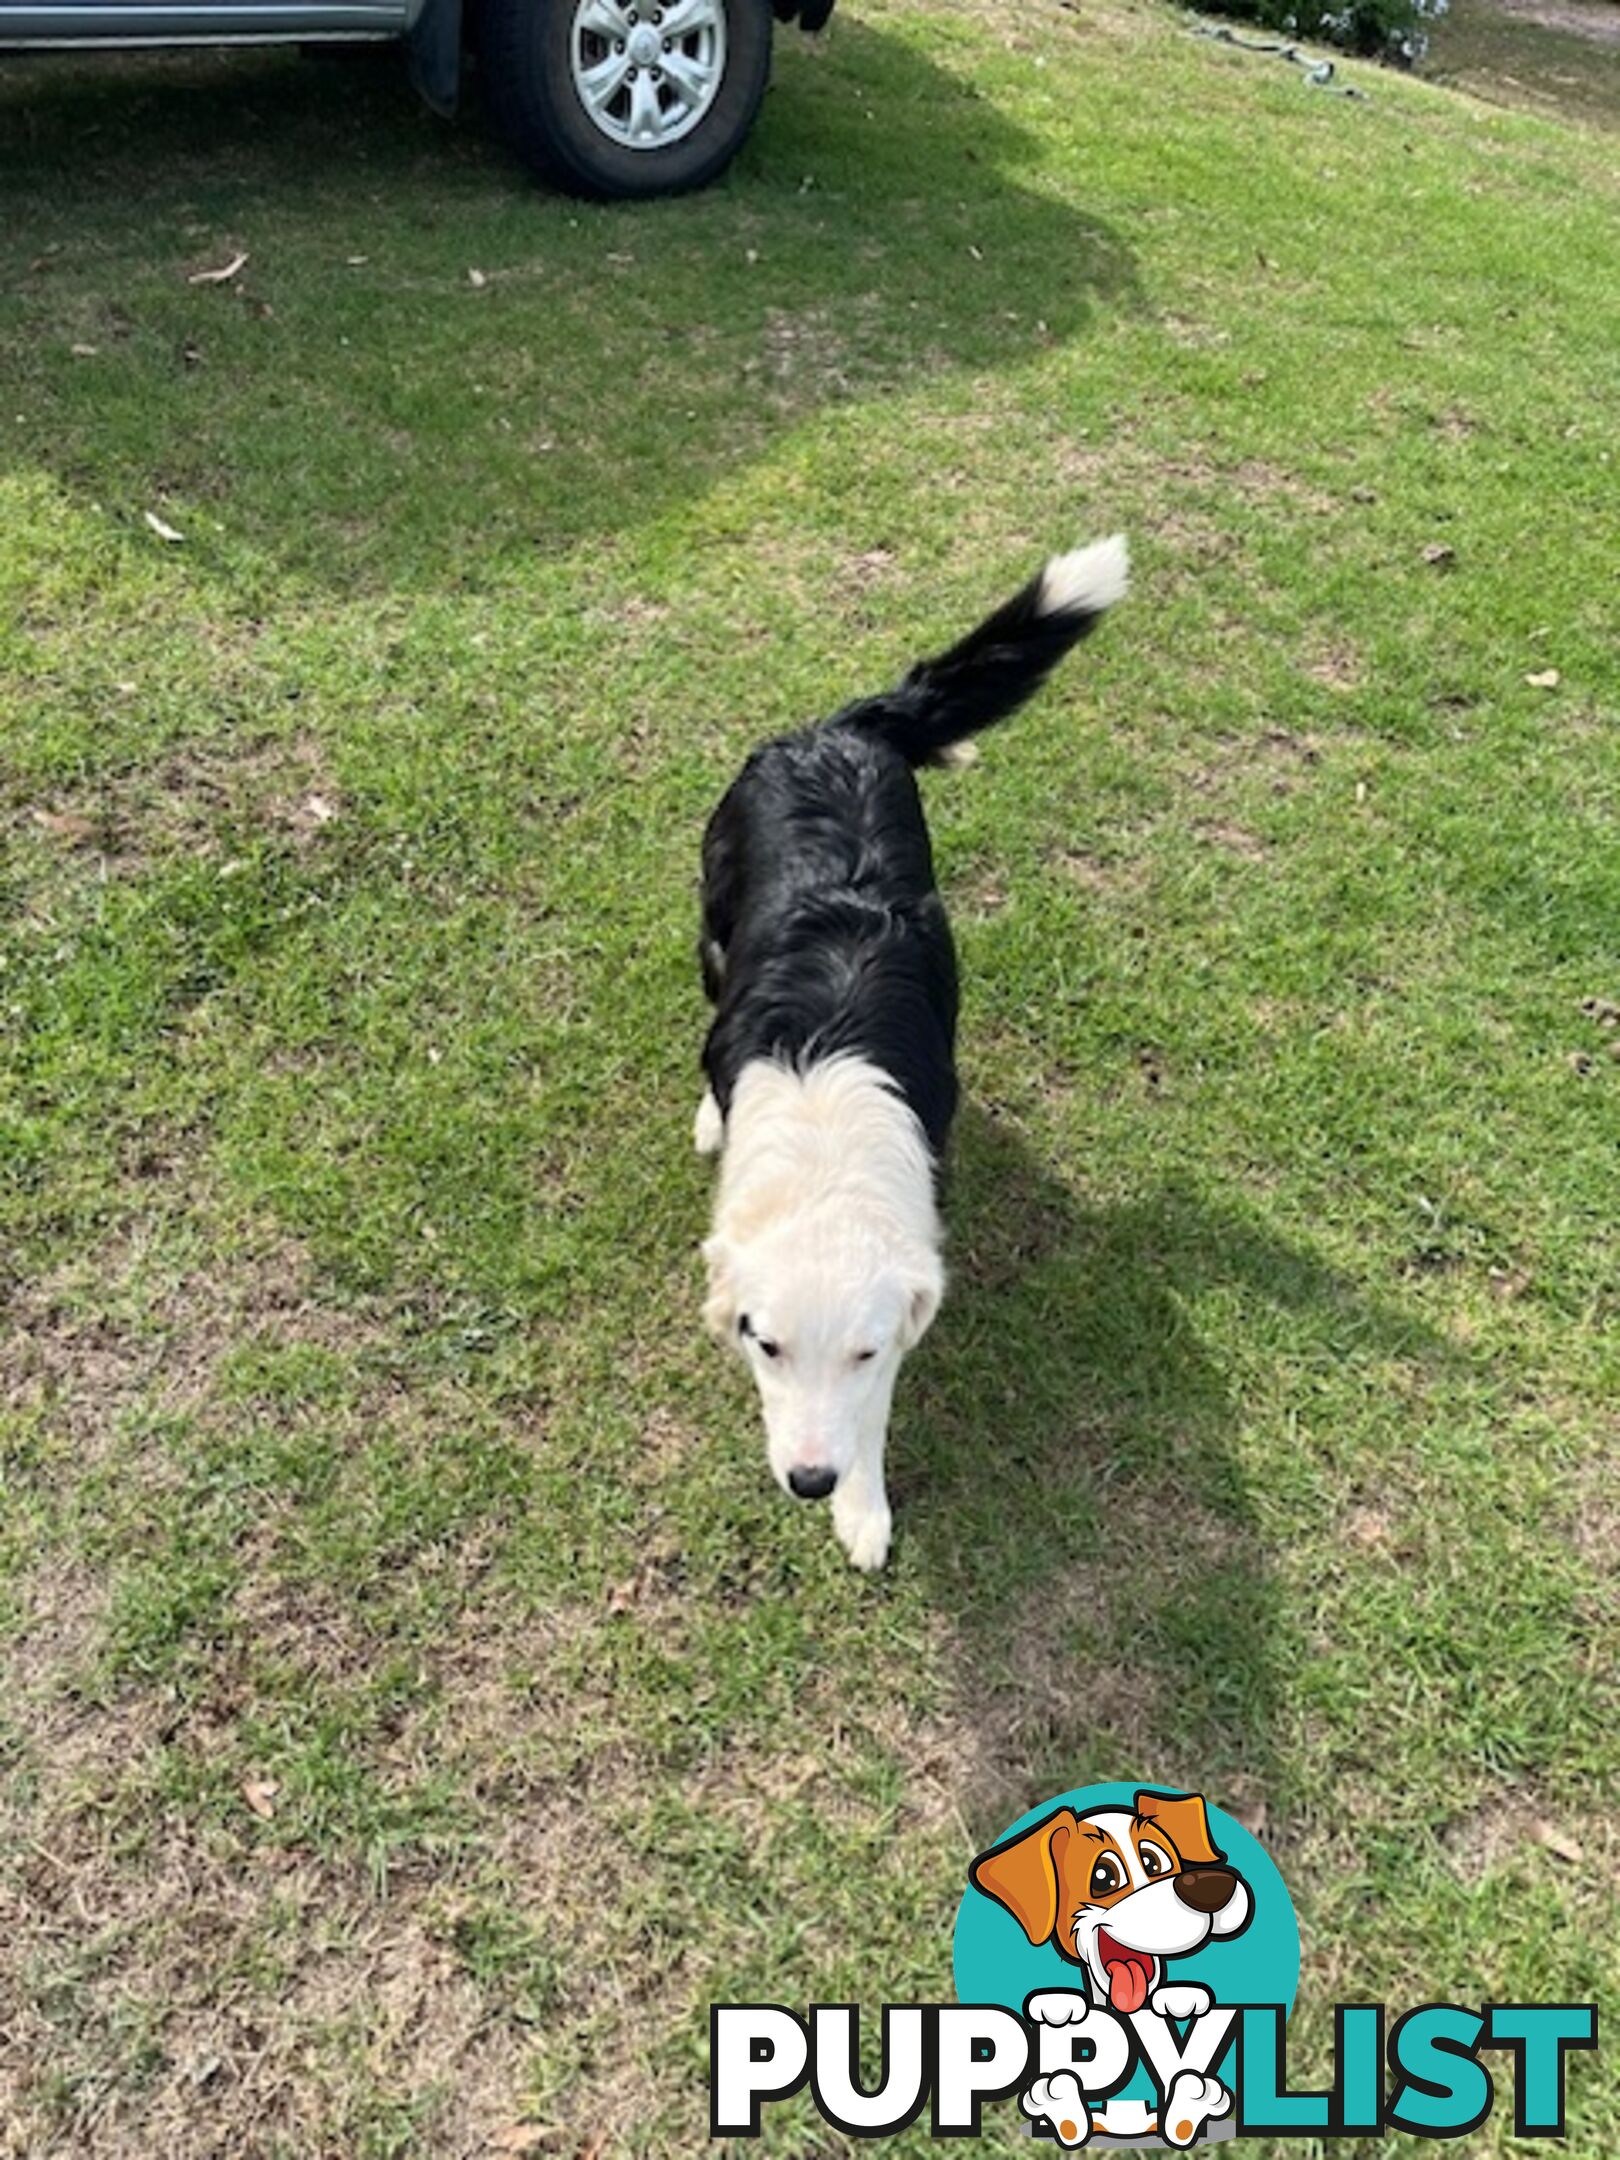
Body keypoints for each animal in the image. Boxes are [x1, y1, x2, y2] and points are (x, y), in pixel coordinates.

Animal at [695, 531, 1131, 1563]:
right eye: (764, 1342)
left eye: (861, 1350)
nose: (810, 1484)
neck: (823, 1145)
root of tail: (836, 730)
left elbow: (874, 1410)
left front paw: (862, 1504)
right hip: (713, 923)